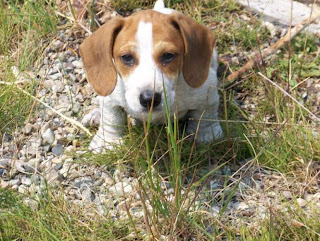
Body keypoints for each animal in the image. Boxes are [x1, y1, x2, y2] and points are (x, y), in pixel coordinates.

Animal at [80, 0, 222, 152]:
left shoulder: (207, 90)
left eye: (168, 55)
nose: (150, 99)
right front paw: (107, 140)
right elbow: (111, 118)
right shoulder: (110, 97)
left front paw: (206, 134)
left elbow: (206, 115)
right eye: (126, 57)